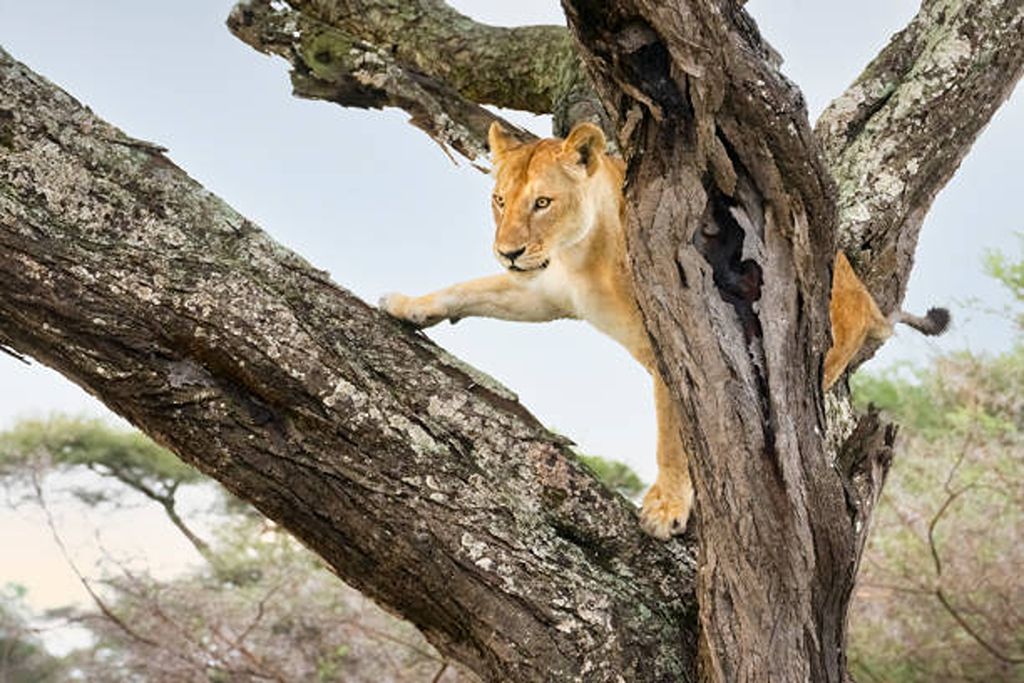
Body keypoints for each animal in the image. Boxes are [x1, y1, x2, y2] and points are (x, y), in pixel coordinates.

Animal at [380, 121, 946, 540]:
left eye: (542, 203)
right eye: (499, 200)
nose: (509, 251)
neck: (583, 256)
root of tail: (864, 296)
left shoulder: (672, 346)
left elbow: (671, 439)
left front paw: (667, 507)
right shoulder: (544, 293)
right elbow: (468, 289)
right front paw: (408, 306)